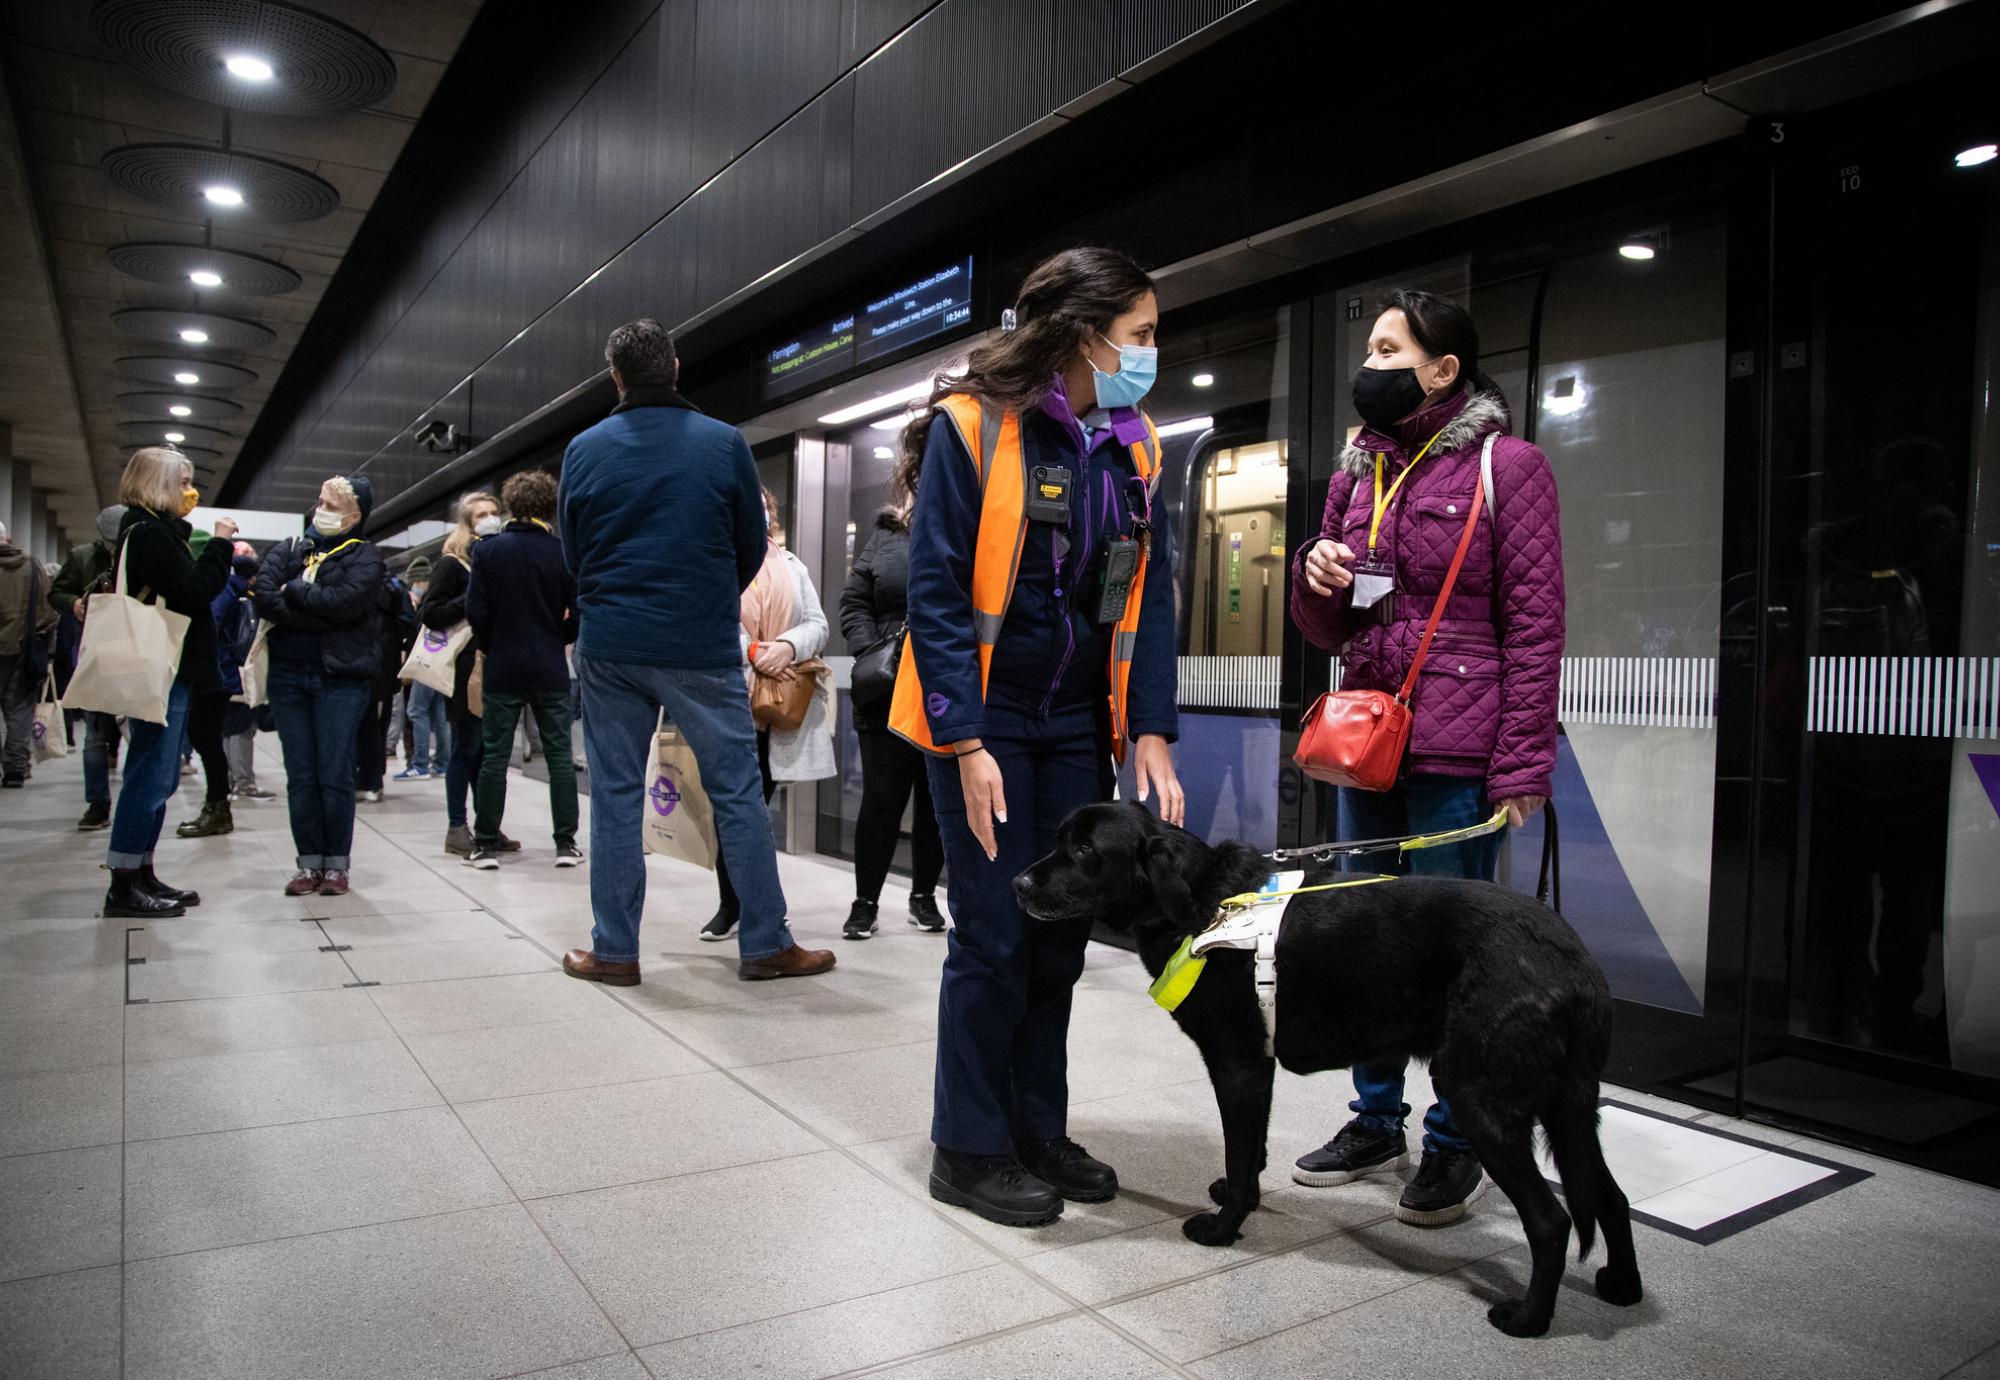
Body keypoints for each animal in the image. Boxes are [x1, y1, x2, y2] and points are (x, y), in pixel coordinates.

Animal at [1016, 796, 1640, 1336]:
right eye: (1061, 840)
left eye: (1085, 849)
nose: (1018, 882)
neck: (1204, 901)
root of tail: (1576, 962)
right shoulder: (1258, 1068)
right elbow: (1251, 1153)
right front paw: (1238, 1200)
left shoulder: (1237, 1064)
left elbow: (1240, 1154)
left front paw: (1223, 1228)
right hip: (1569, 1107)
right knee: (1610, 1196)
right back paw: (1623, 1288)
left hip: (1478, 1096)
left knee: (1552, 1220)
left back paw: (1529, 1319)